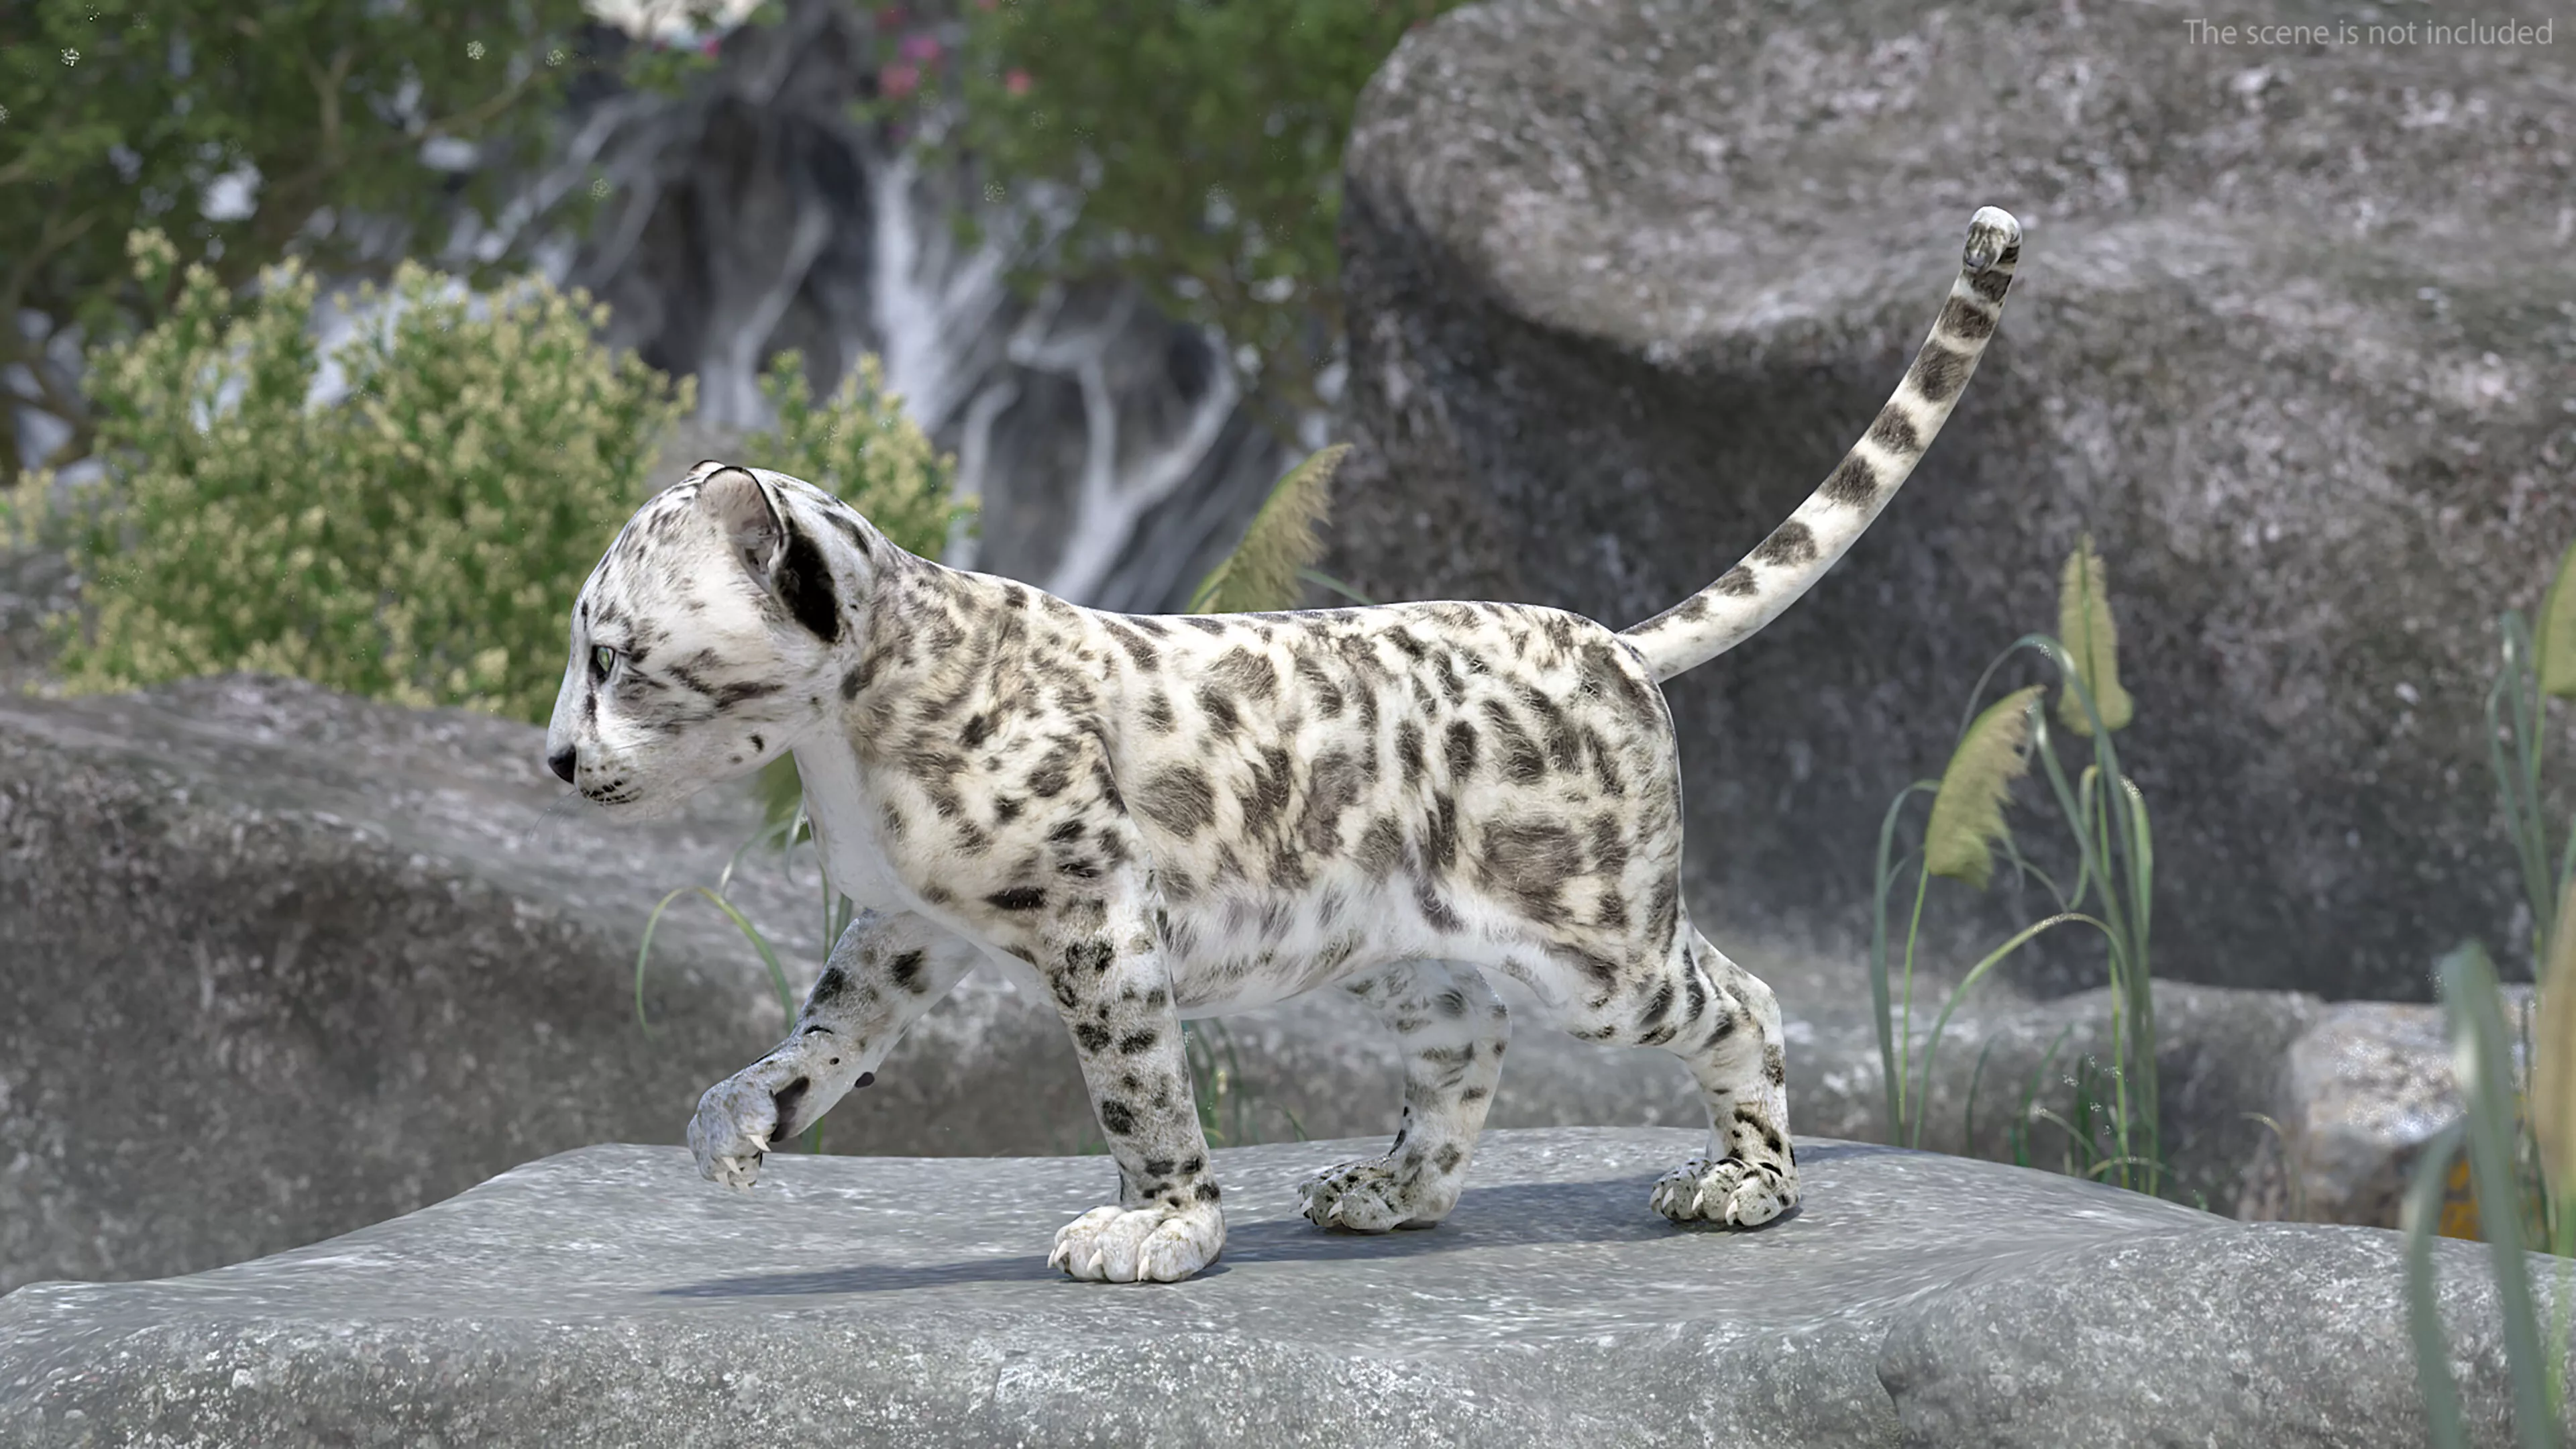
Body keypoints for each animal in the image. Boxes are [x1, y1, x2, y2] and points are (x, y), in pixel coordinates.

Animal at [544, 206, 2022, 1283]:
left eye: (613, 656)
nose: (555, 759)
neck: (848, 759)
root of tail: (1610, 638)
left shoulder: (1098, 924)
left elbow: (1137, 1091)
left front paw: (1159, 1227)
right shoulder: (901, 928)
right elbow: (825, 1034)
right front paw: (737, 1122)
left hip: (1601, 948)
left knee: (1741, 1001)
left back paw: (1742, 1184)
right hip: (1416, 959)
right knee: (1466, 1051)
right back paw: (1388, 1192)